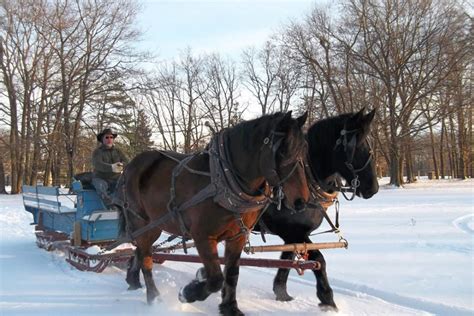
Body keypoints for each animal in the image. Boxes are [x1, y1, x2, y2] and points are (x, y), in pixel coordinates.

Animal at [118, 111, 312, 316]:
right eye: (283, 151)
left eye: (304, 149)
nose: (301, 201)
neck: (223, 183)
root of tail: (130, 166)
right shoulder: (203, 236)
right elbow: (216, 279)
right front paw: (187, 292)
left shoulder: (238, 236)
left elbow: (231, 274)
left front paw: (230, 307)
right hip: (142, 223)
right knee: (146, 259)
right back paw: (154, 298)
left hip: (154, 227)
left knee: (140, 252)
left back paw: (133, 280)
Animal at [254, 108, 380, 312]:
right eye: (355, 146)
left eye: (368, 143)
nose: (373, 188)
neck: (306, 178)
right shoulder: (291, 231)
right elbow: (319, 259)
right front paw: (327, 299)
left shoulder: (294, 234)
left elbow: (288, 258)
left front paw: (281, 292)